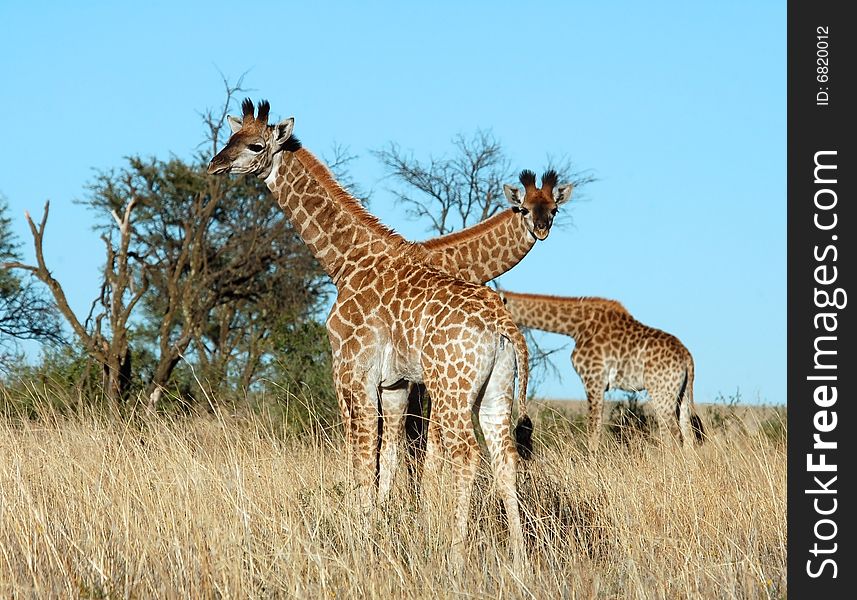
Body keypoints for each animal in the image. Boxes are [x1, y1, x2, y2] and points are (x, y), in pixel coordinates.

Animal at [208, 98, 532, 568]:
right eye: (230, 137)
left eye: (254, 145)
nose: (215, 164)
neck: (344, 261)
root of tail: (503, 326)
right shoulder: (394, 384)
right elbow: (388, 459)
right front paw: (377, 529)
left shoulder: (352, 372)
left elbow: (361, 462)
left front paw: (357, 540)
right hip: (496, 390)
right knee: (505, 459)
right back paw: (519, 560)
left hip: (451, 390)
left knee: (467, 457)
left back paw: (455, 556)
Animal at [498, 290, 704, 450]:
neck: (576, 327)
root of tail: (687, 357)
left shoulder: (594, 380)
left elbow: (593, 431)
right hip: (681, 393)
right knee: (687, 434)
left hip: (662, 393)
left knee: (674, 434)